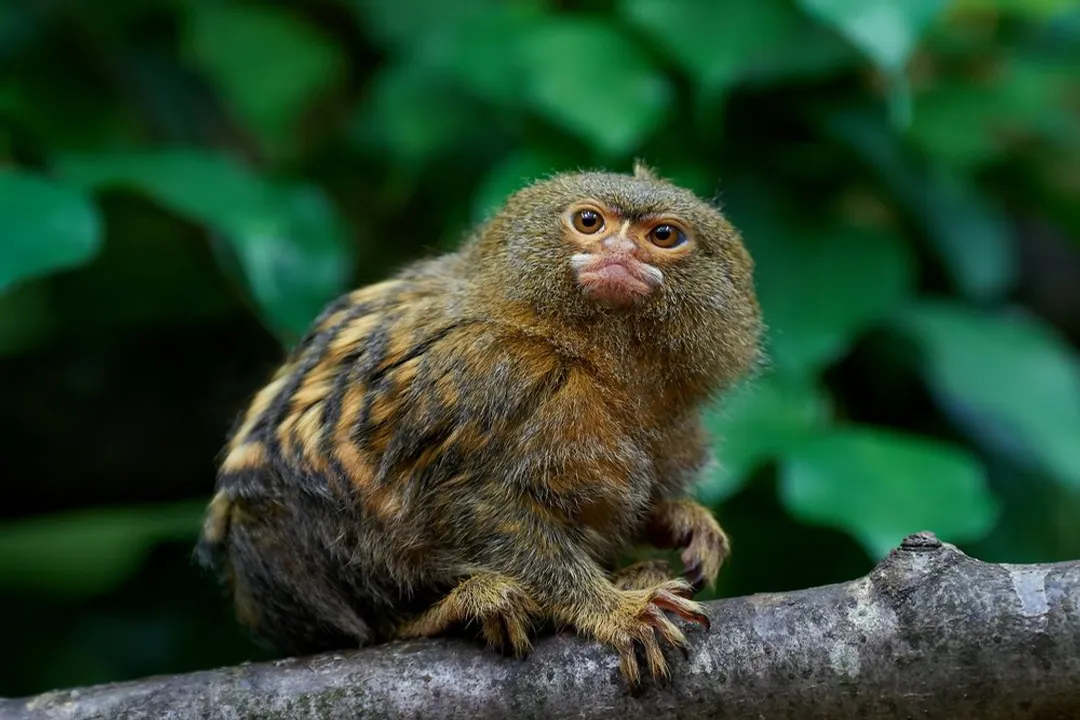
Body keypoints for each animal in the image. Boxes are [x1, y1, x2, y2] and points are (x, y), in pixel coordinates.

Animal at [196, 162, 762, 686]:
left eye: (663, 235)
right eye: (589, 221)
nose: (620, 253)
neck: (587, 353)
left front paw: (679, 518)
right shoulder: (495, 373)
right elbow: (475, 502)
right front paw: (615, 611)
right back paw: (454, 609)